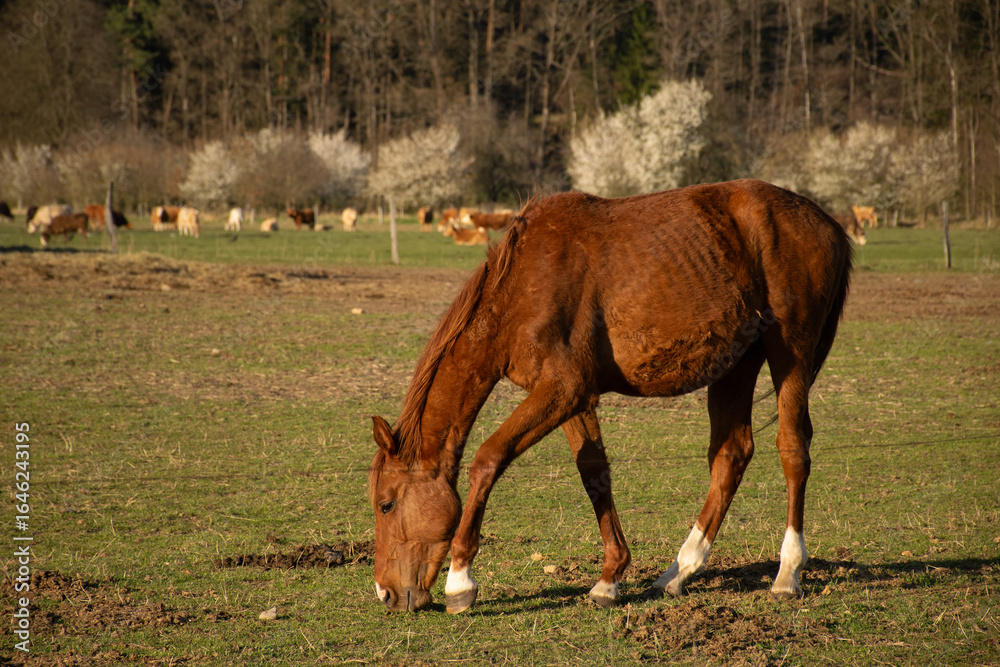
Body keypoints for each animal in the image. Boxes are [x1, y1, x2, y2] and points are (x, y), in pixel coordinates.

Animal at [368, 179, 853, 613]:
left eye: (386, 504)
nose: (385, 593)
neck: (524, 286)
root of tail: (828, 224)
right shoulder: (572, 399)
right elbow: (594, 473)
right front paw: (609, 578)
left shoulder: (562, 390)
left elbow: (488, 459)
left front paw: (460, 580)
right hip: (737, 365)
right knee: (731, 455)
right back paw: (679, 571)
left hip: (790, 354)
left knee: (792, 450)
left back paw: (787, 574)